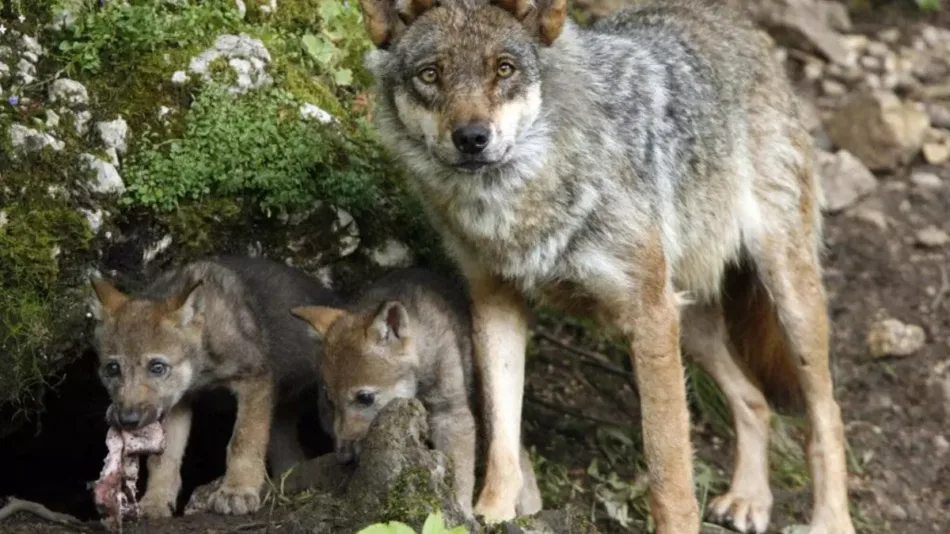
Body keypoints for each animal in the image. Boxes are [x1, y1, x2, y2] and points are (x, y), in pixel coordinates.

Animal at [88, 256, 340, 518]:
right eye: (112, 369)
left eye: (157, 367)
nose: (128, 419)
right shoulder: (177, 402)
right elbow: (164, 458)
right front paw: (155, 501)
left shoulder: (255, 380)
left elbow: (243, 440)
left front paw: (237, 492)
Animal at [291, 267, 543, 517]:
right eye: (330, 400)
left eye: (365, 397)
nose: (343, 458)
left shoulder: (451, 413)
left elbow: (460, 472)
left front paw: (461, 512)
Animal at [354, 0, 856, 532]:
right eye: (430, 74)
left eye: (504, 69)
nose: (472, 137)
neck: (517, 206)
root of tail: (737, 23)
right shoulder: (495, 301)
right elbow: (503, 435)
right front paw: (491, 513)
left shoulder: (649, 317)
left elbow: (668, 468)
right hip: (689, 322)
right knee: (754, 400)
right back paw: (749, 498)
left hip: (785, 296)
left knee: (826, 413)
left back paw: (829, 520)